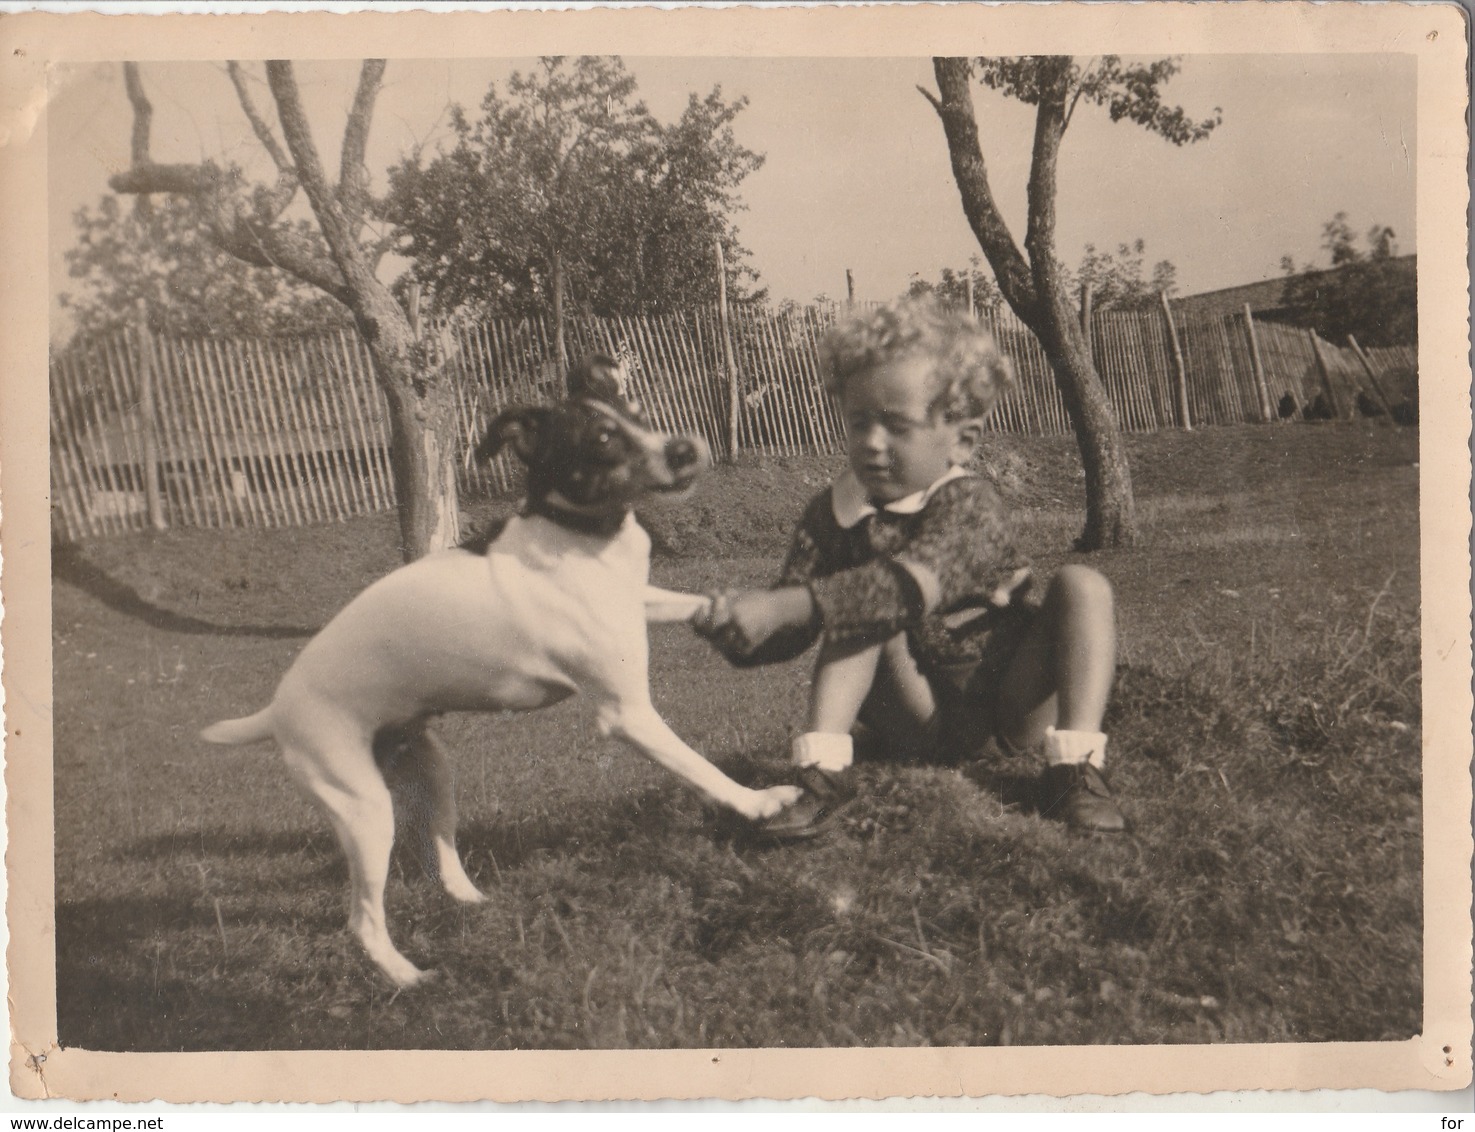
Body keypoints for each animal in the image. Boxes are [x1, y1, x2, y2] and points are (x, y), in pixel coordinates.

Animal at [202, 358, 802, 985]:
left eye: (637, 412)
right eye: (600, 439)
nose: (685, 449)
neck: (578, 536)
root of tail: (277, 709)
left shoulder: (635, 600)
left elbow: (687, 600)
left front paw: (737, 610)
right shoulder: (628, 715)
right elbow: (701, 769)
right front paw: (760, 802)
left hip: (431, 771)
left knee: (438, 850)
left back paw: (474, 902)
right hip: (362, 809)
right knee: (363, 919)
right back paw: (407, 977)